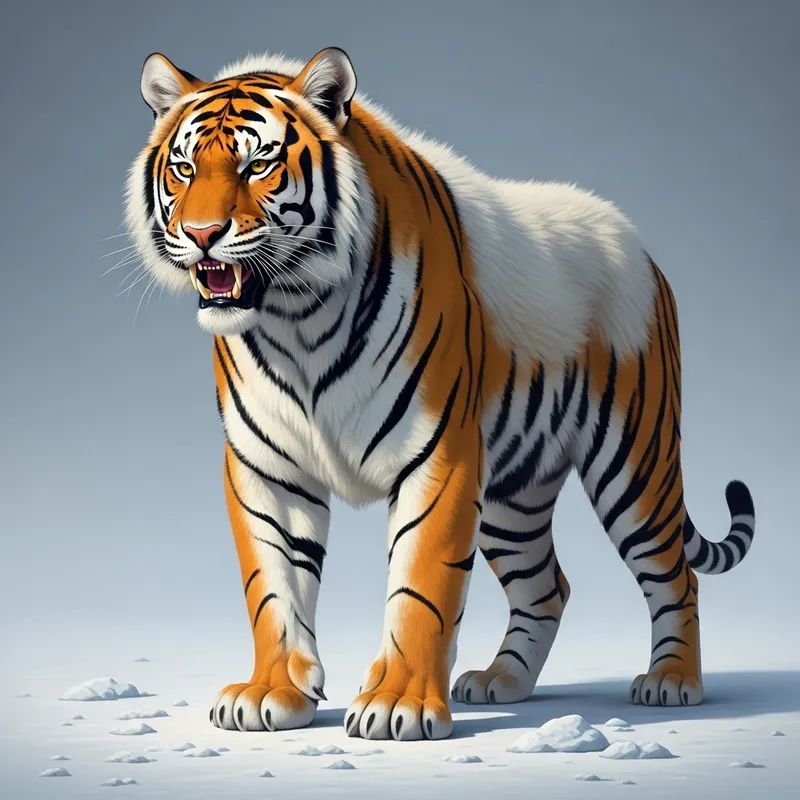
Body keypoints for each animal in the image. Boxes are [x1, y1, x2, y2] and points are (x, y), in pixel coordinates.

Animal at [124, 46, 756, 741]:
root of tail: (638, 245)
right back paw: (501, 681)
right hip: (512, 494)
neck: (297, 318)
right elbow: (273, 586)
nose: (201, 233)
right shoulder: (265, 467)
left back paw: (672, 682)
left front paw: (397, 703)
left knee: (676, 575)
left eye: (256, 164)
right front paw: (272, 693)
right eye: (183, 168)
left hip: (634, 463)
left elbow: (421, 583)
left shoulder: (438, 454)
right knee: (547, 587)